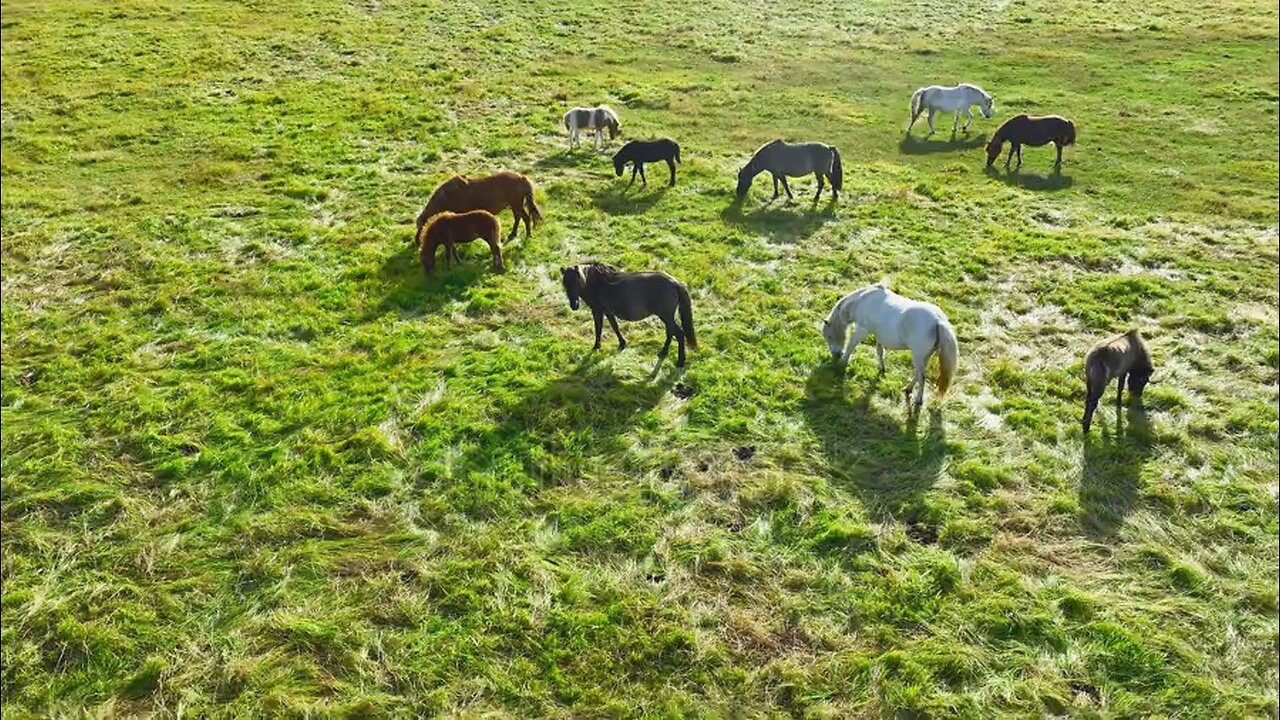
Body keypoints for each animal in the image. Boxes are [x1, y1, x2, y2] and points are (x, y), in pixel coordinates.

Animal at [414, 171, 542, 243]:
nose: (417, 241)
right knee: (518, 218)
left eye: (422, 226)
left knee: (525, 218)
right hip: (514, 205)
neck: (447, 196)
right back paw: (513, 234)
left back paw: (528, 235)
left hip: (517, 204)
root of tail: (522, 177)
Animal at [561, 263, 697, 367]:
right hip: (667, 317)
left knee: (679, 334)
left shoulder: (597, 311)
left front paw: (596, 347)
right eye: (565, 283)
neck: (597, 283)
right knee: (670, 332)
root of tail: (675, 283)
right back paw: (663, 353)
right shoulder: (608, 312)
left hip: (666, 316)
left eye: (576, 282)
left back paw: (680, 361)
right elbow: (615, 327)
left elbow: (598, 329)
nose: (574, 305)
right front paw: (622, 343)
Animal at [821, 282, 958, 407]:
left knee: (922, 377)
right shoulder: (879, 336)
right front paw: (882, 368)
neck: (862, 300)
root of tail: (937, 321)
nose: (836, 355)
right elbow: (880, 351)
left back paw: (918, 400)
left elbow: (851, 346)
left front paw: (843, 363)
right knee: (918, 374)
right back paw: (907, 389)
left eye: (829, 336)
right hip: (925, 356)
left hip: (918, 355)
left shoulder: (862, 330)